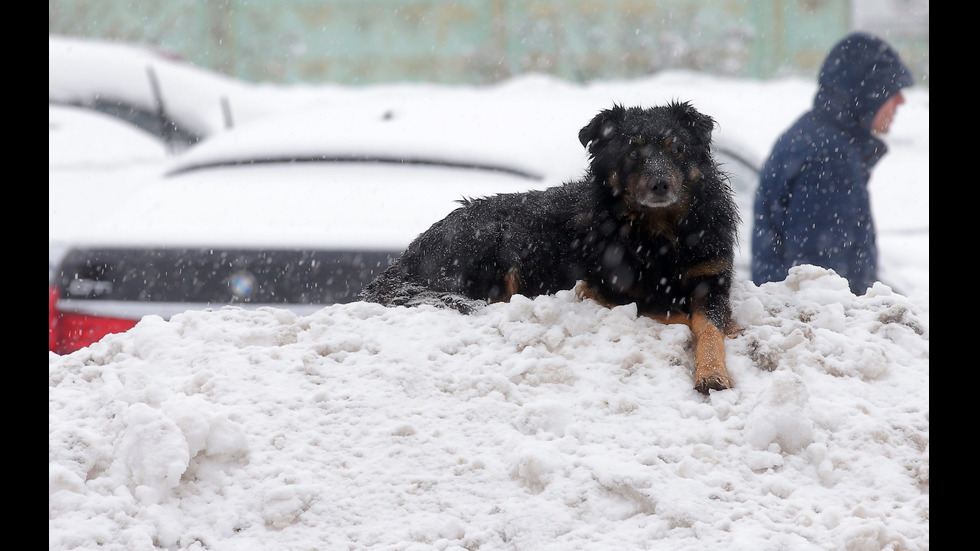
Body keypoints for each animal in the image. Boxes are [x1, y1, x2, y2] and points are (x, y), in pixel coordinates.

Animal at [364, 103, 740, 394]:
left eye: (677, 149)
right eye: (633, 152)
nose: (660, 184)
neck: (660, 233)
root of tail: (402, 263)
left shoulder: (711, 280)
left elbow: (707, 325)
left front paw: (712, 371)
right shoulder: (605, 289)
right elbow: (681, 317)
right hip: (490, 238)